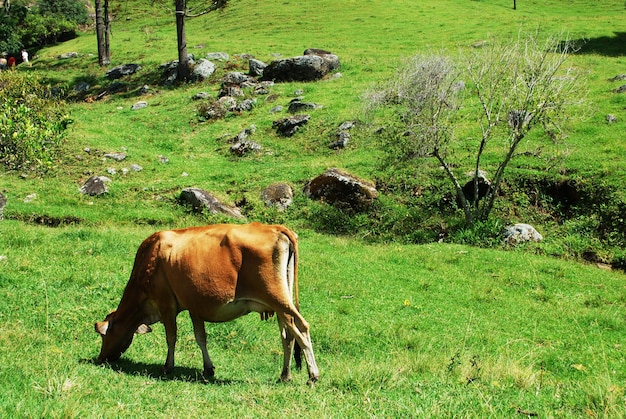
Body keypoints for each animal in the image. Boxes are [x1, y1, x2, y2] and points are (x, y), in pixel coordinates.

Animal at [95, 223, 320, 384]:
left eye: (104, 335)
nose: (100, 358)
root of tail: (276, 227)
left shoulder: (166, 303)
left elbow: (171, 337)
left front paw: (168, 366)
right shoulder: (194, 306)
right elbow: (200, 337)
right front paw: (208, 368)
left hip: (276, 297)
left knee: (302, 328)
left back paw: (313, 376)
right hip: (281, 300)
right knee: (288, 335)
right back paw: (284, 375)